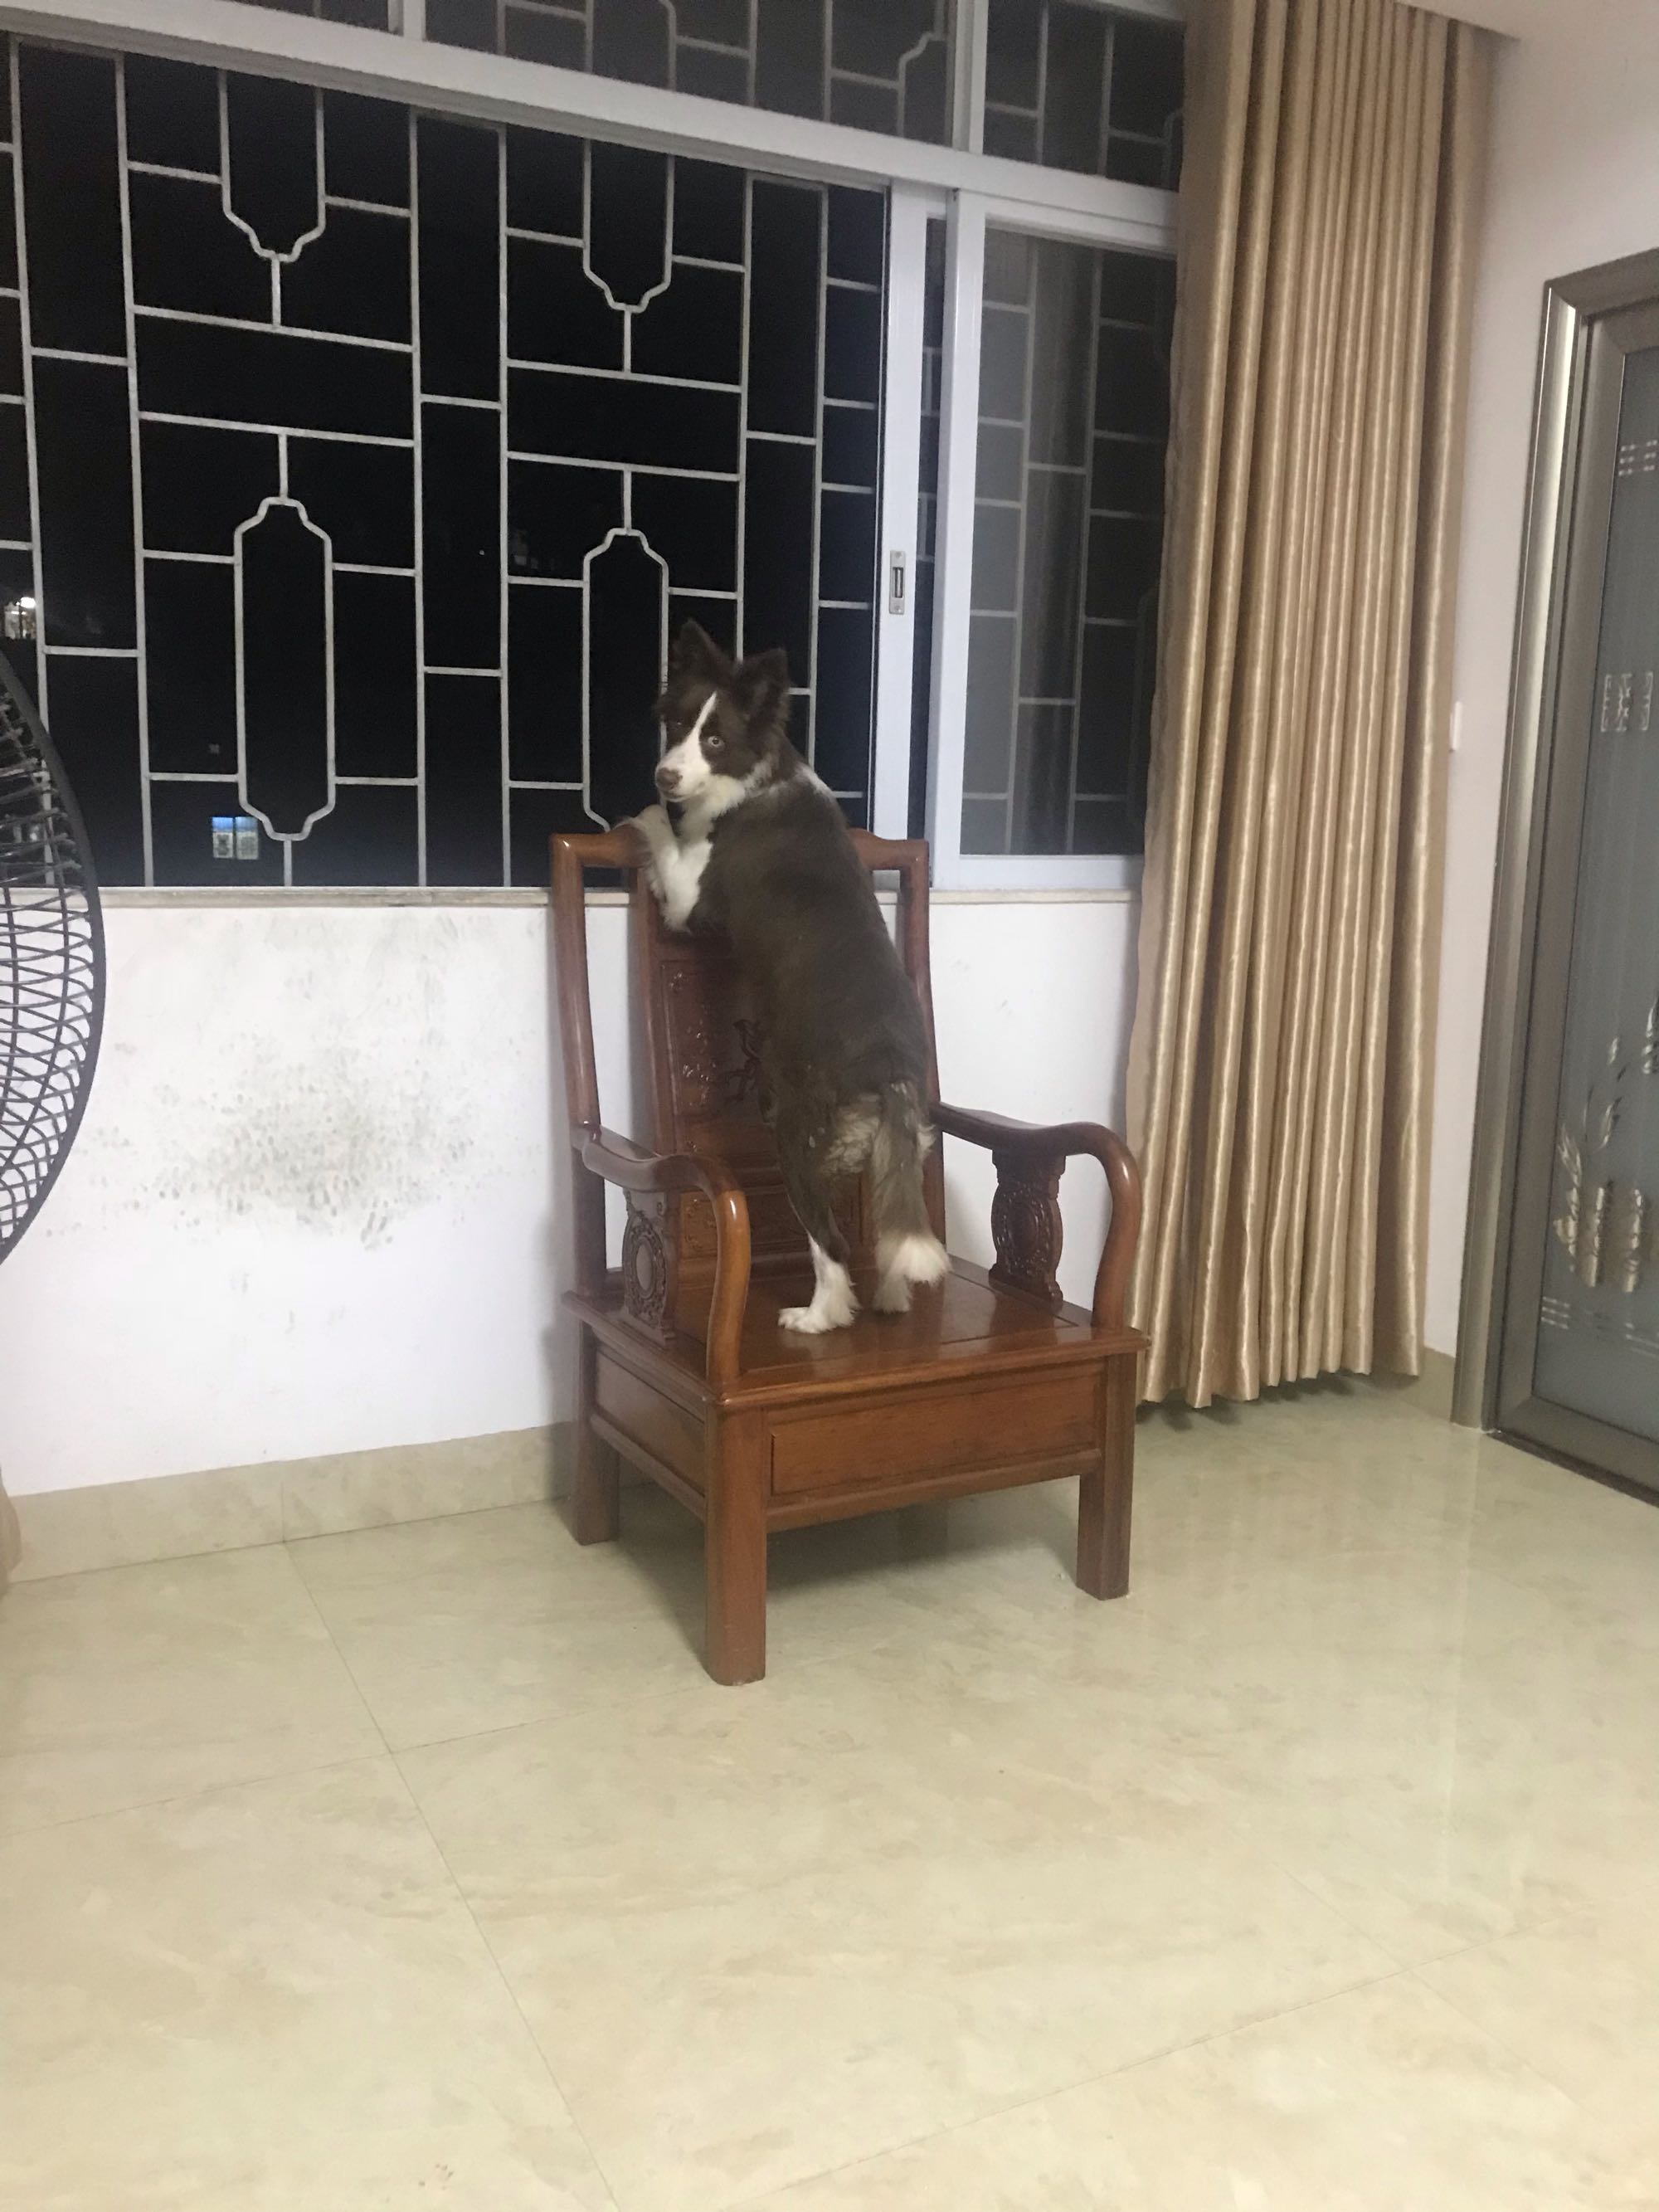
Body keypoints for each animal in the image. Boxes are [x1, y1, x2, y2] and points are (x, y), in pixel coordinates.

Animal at [630, 621, 949, 1334]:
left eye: (715, 740)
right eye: (677, 724)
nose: (664, 772)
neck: (757, 774)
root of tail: (890, 1074)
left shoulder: (693, 900)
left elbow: (662, 836)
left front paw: (644, 814)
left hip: (796, 1141)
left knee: (832, 1244)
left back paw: (818, 1315)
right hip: (897, 1150)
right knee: (890, 1236)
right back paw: (890, 1297)